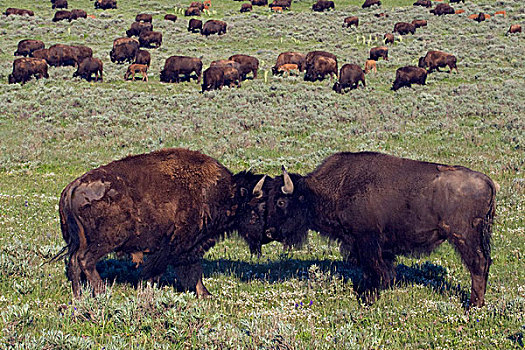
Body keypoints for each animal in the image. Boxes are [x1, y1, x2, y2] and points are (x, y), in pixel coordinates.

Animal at [53, 148, 268, 298]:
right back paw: (102, 292)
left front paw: (205, 294)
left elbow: (192, 270)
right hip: (105, 241)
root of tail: (72, 187)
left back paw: (78, 296)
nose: (266, 234)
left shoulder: (188, 247)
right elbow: (175, 270)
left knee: (74, 262)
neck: (220, 193)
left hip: (80, 241)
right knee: (85, 261)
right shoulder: (179, 245)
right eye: (255, 208)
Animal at [264, 150, 498, 306]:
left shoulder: (367, 241)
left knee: (478, 264)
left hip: (463, 237)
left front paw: (369, 298)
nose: (268, 232)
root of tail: (487, 181)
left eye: (281, 202)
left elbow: (373, 270)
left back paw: (473, 305)